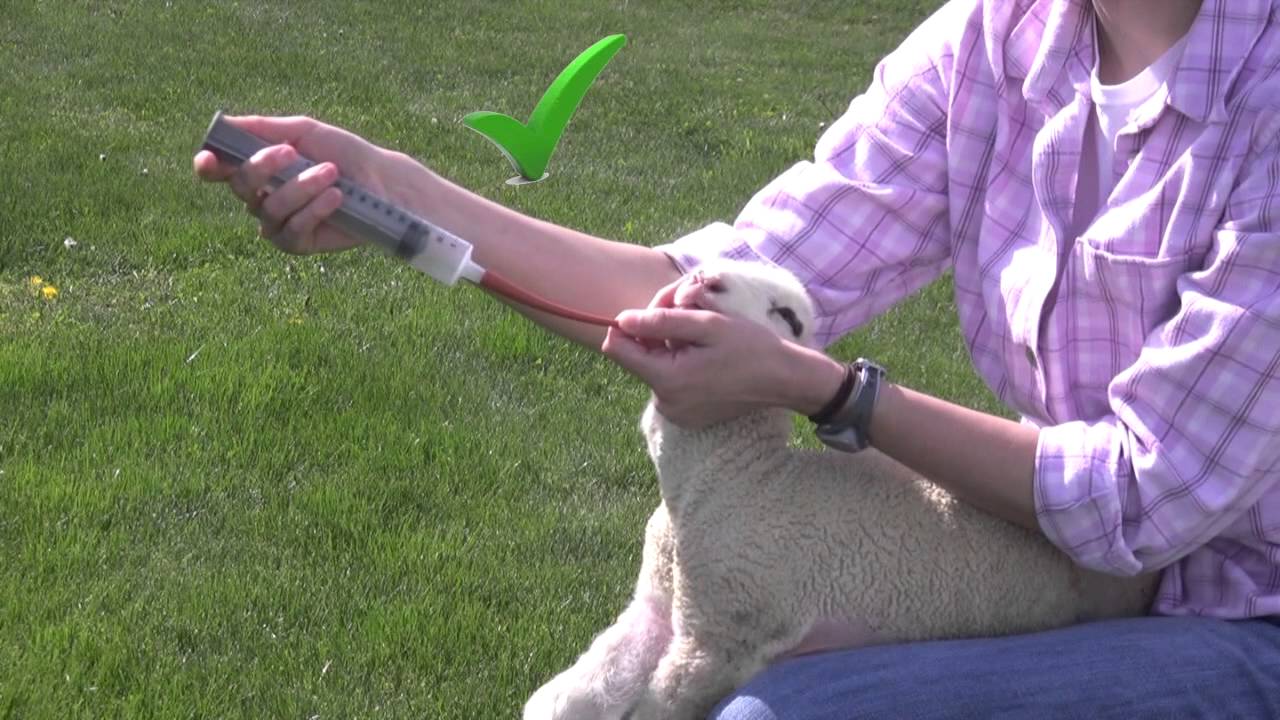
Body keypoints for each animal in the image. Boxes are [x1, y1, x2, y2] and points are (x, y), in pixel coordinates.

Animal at [523, 259, 1159, 720]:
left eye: (787, 316)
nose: (704, 280)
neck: (736, 479)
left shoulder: (723, 634)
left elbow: (659, 705)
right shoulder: (662, 603)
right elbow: (583, 686)